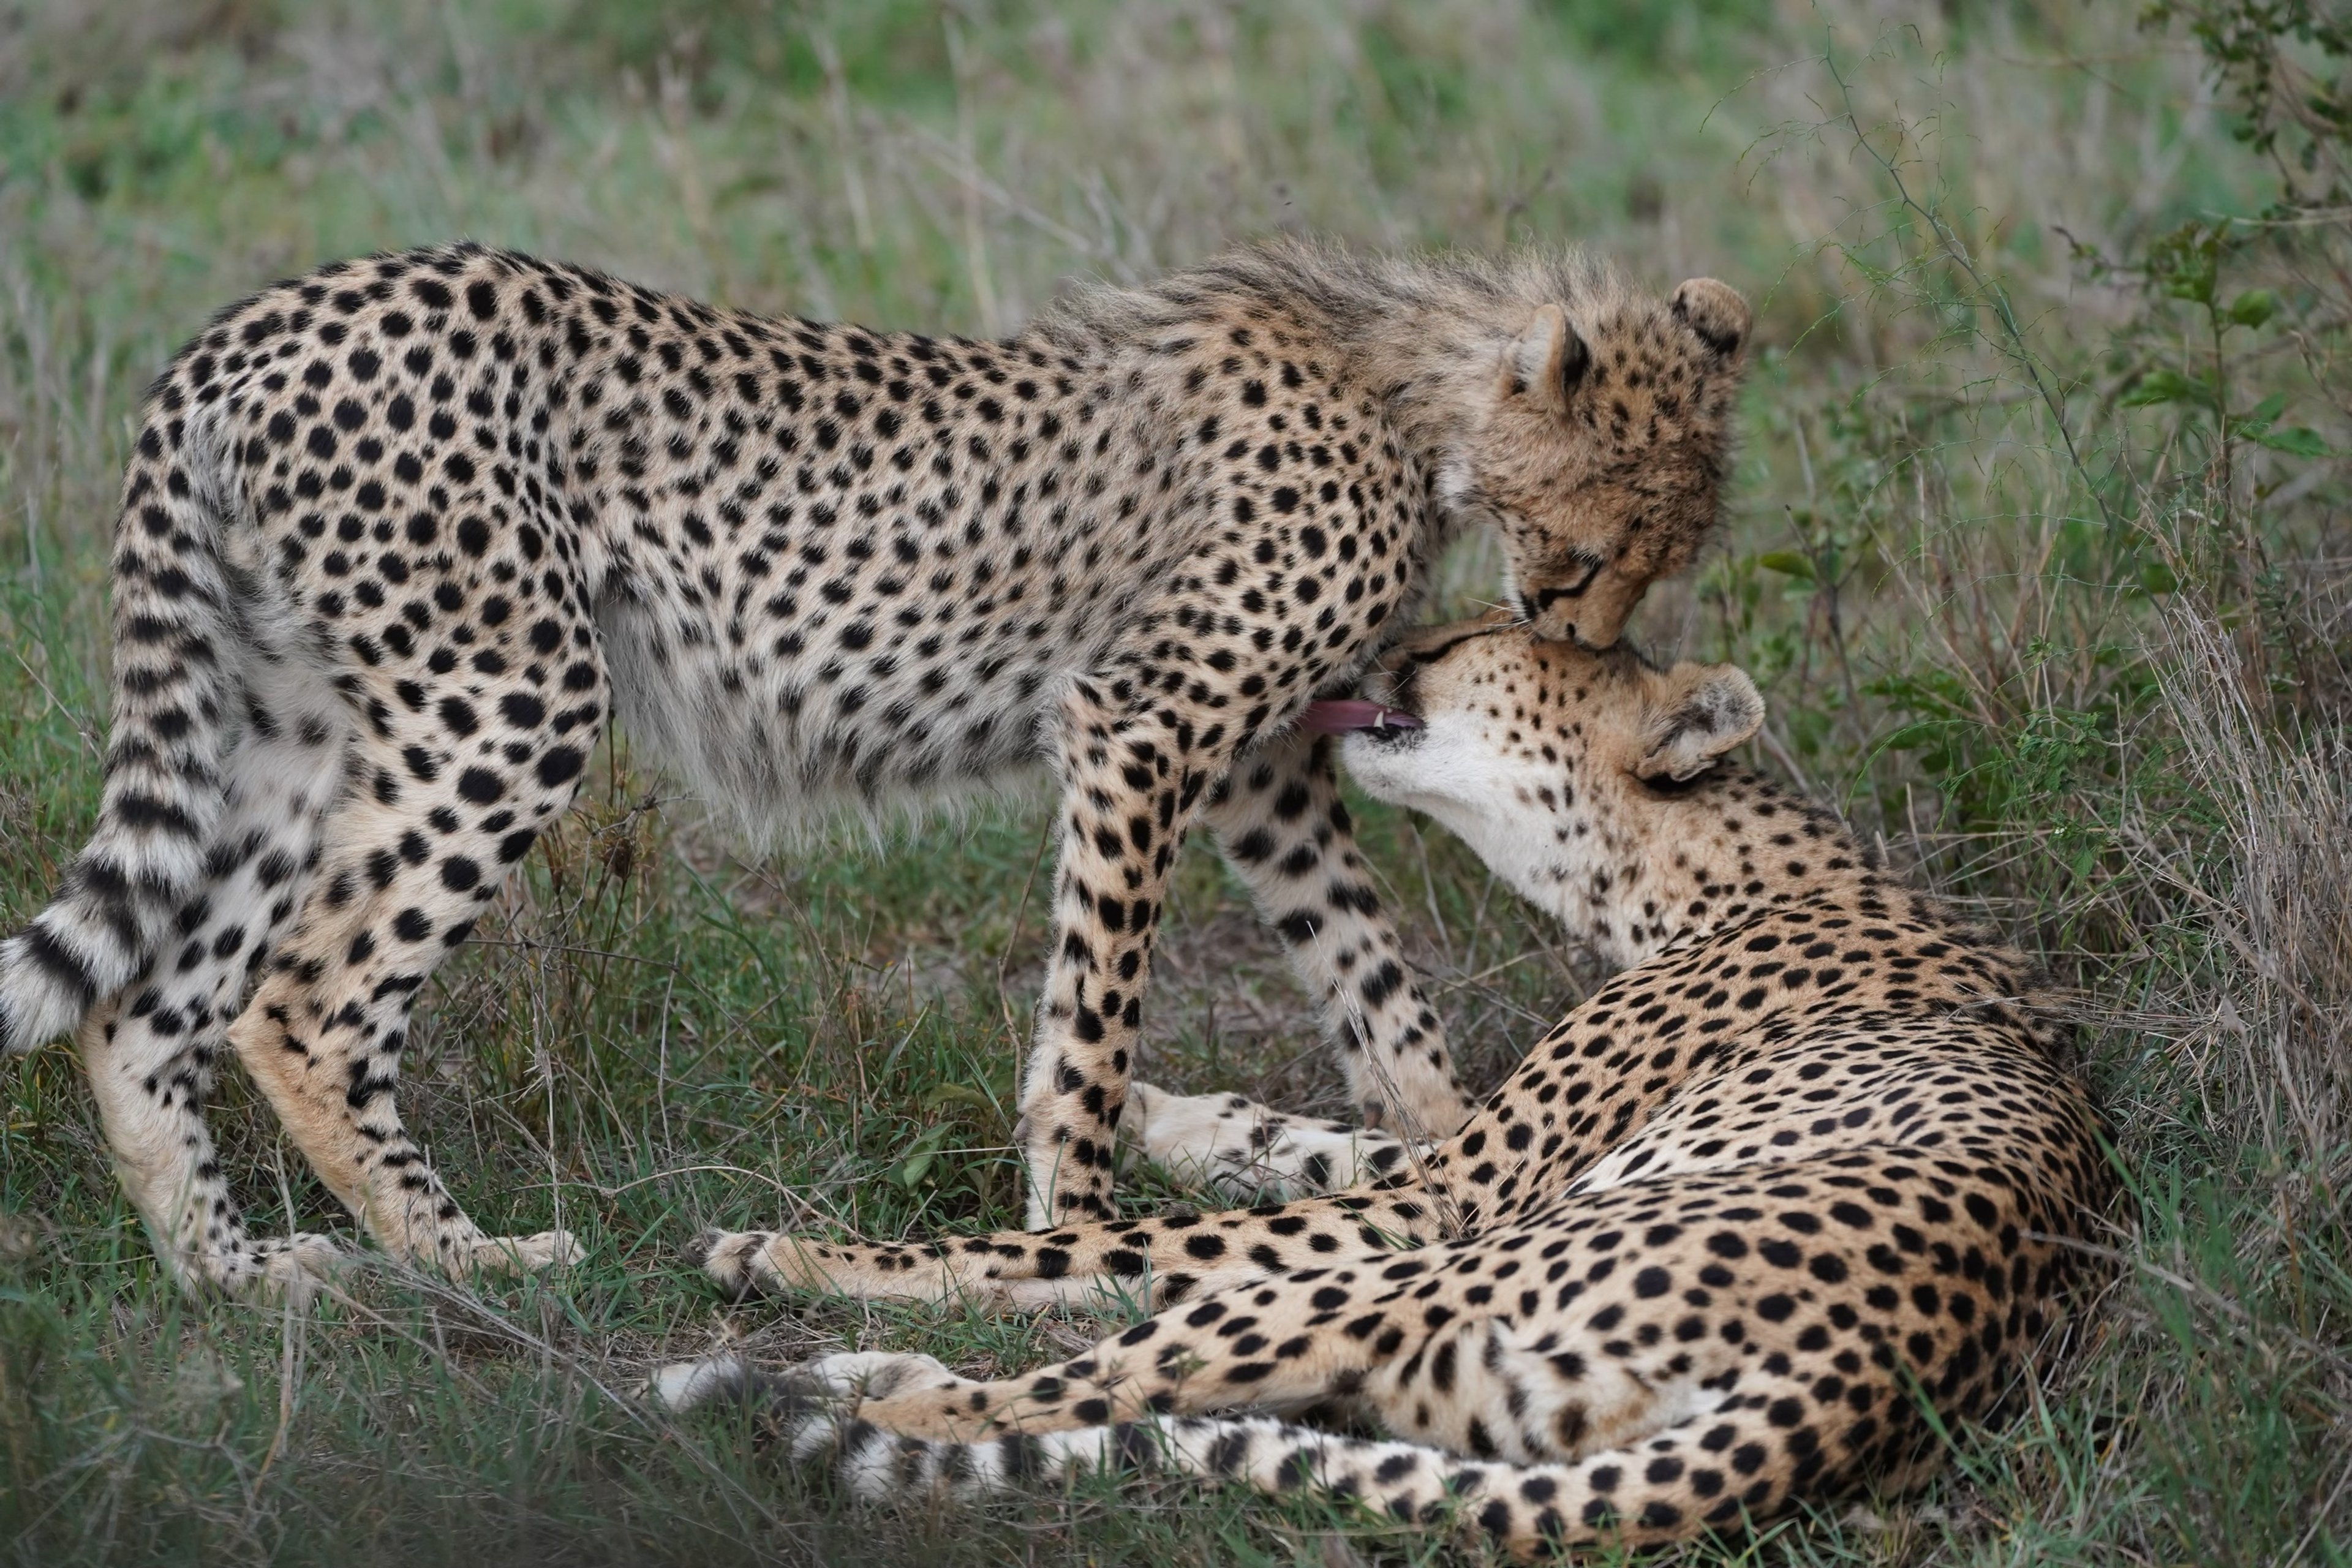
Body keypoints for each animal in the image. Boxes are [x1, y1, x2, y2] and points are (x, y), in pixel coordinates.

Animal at [0, 236, 1759, 1288]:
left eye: (1661, 550)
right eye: (1608, 540)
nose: (1573, 629)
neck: (1412, 383)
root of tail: (270, 311)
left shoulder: (1261, 766)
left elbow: (1372, 984)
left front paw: (1457, 1149)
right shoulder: (1143, 722)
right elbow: (1094, 1020)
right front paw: (1077, 1227)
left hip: (292, 723)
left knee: (149, 1002)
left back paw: (239, 1278)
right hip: (505, 694)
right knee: (300, 995)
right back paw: (470, 1261)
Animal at [663, 620, 2117, 1561]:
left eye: (1472, 636)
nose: (1373, 656)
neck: (1709, 864)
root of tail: (1859, 1390)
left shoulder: (1446, 1206)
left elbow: (1070, 1241)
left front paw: (791, 1248)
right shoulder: (1450, 1166)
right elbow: (1303, 1143)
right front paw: (1157, 1112)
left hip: (1420, 1278)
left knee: (1067, 1380)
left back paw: (809, 1391)